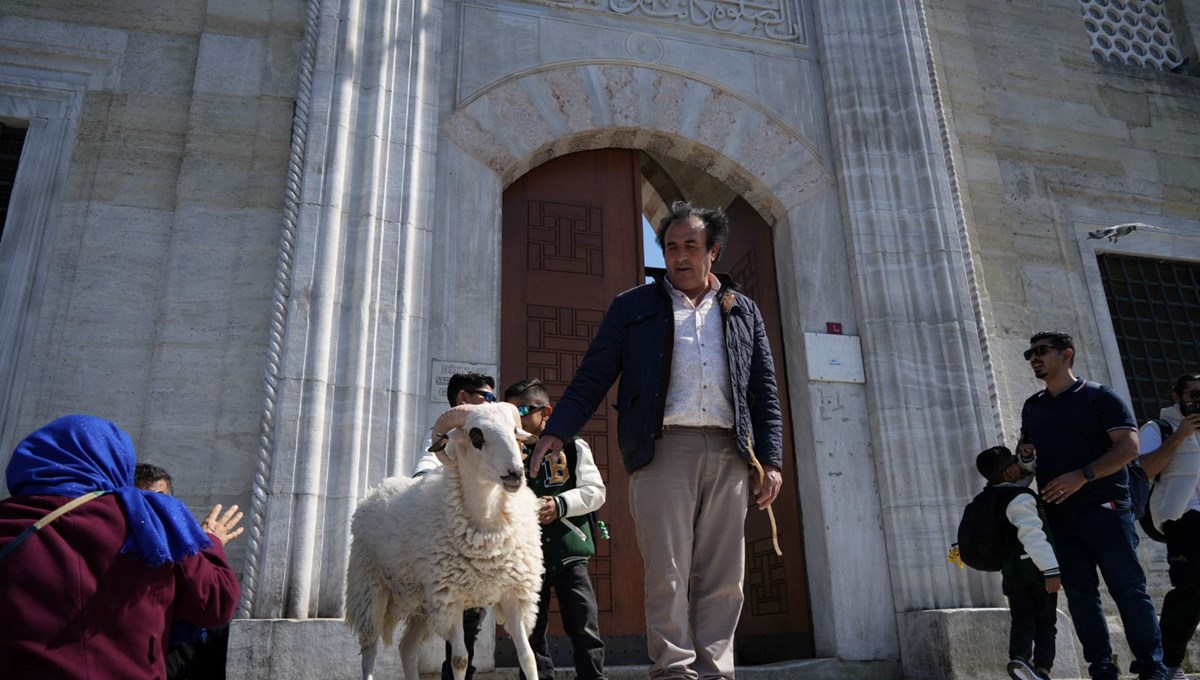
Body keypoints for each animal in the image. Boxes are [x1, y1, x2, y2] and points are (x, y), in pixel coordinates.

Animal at [345, 405, 547, 680]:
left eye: (515, 431)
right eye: (476, 435)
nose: (515, 474)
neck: (486, 524)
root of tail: (377, 489)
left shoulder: (512, 592)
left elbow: (527, 657)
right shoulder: (451, 597)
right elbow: (460, 661)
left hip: (422, 601)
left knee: (406, 647)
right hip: (369, 587)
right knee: (370, 648)